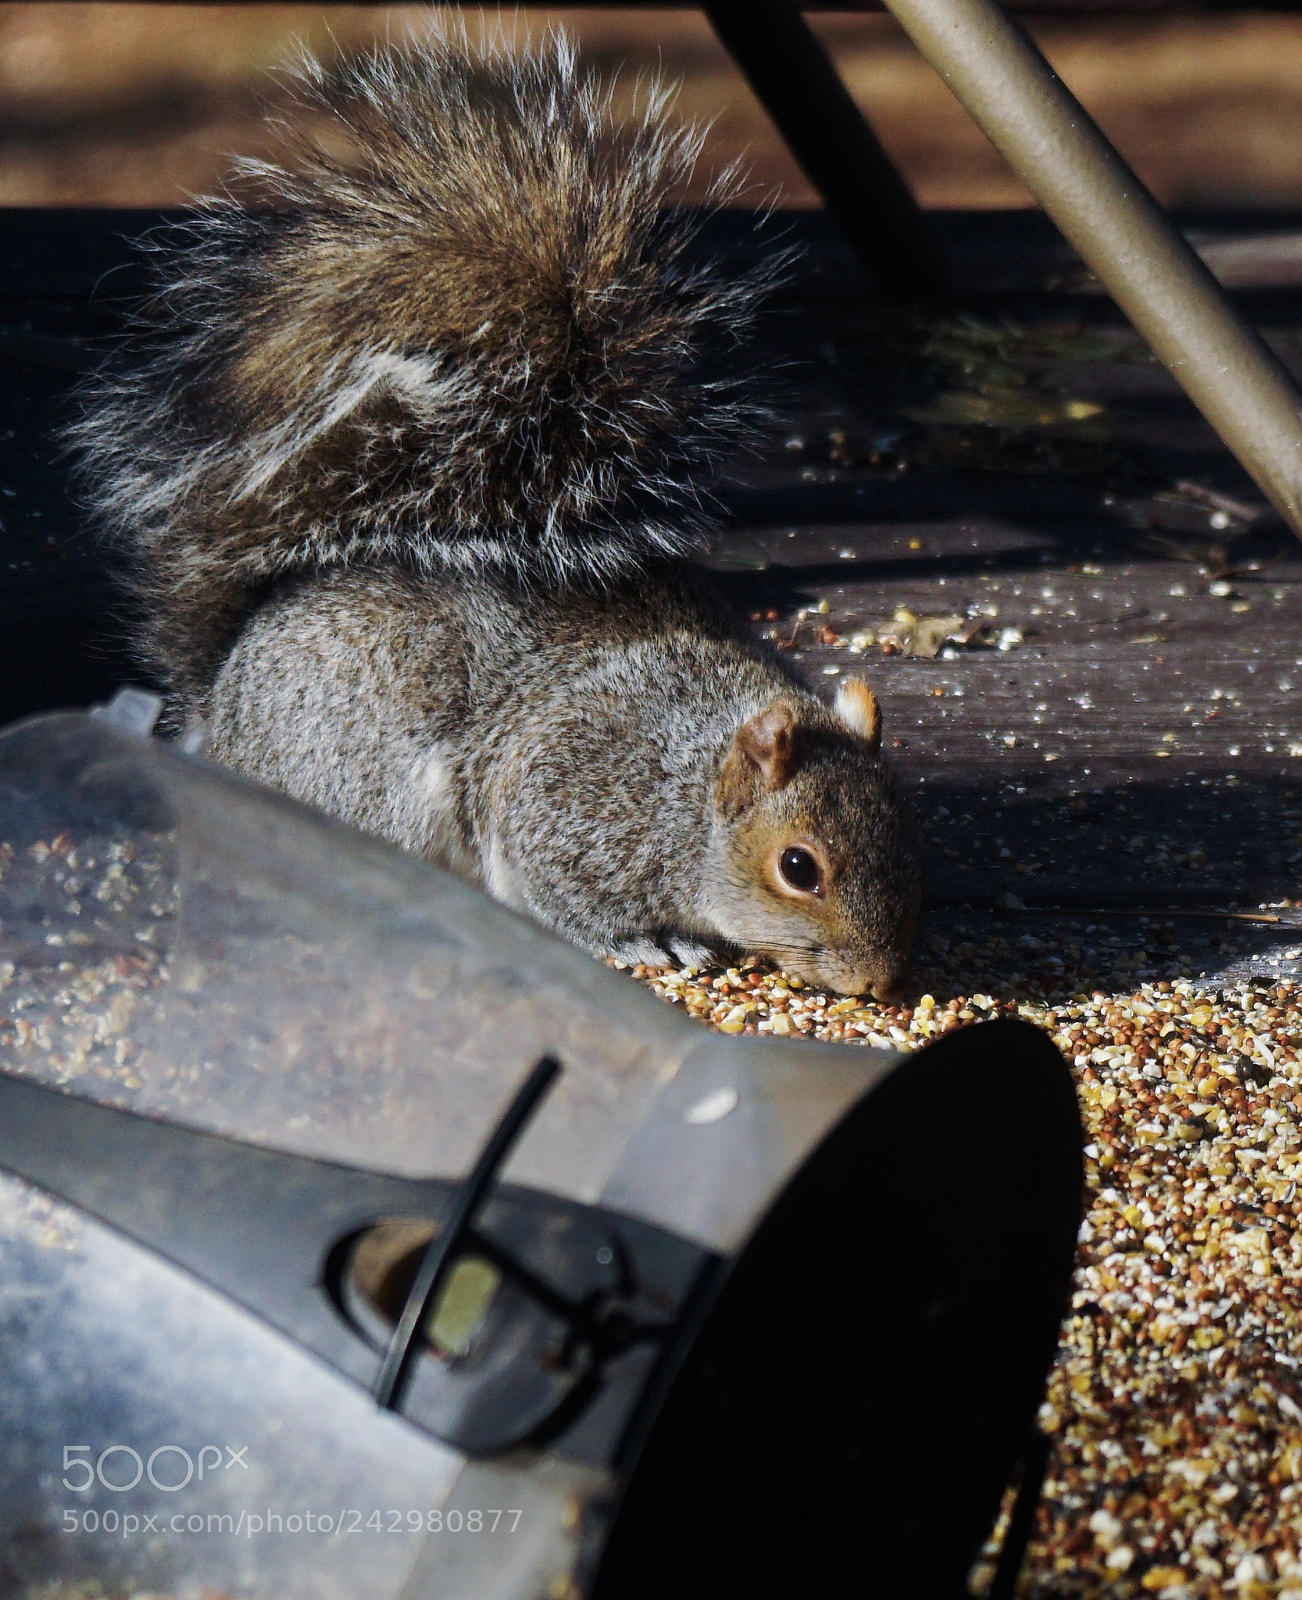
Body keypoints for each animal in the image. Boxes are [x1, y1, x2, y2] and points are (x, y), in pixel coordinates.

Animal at [70, 31, 923, 999]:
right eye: (798, 867)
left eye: (907, 837)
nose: (879, 979)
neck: (689, 784)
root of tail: (220, 698)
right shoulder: (571, 795)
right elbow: (559, 887)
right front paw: (650, 942)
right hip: (365, 782)